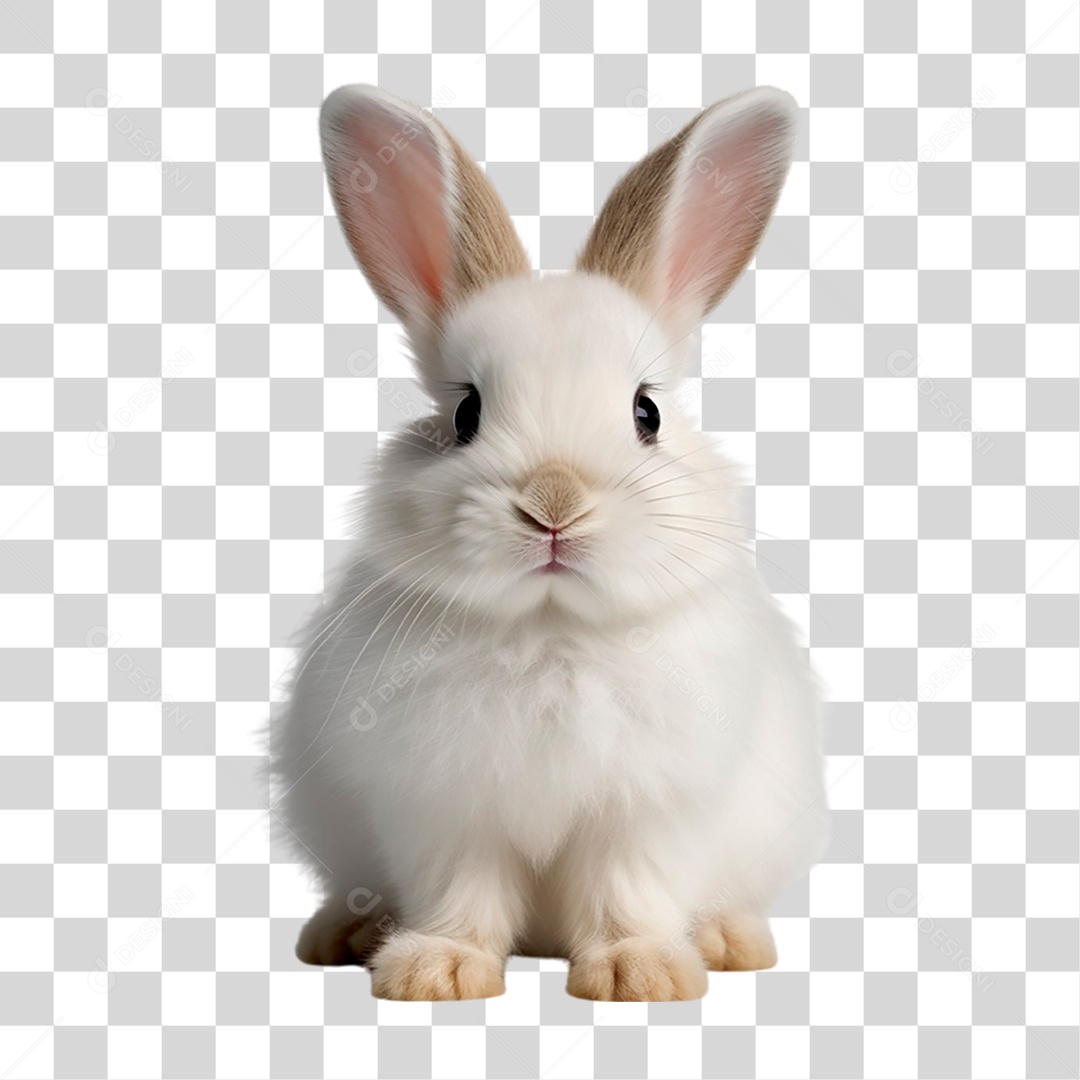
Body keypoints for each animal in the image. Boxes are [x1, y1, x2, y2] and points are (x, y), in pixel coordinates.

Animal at [270, 83, 829, 1002]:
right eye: (465, 413)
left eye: (647, 412)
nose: (554, 503)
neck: (551, 626)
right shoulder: (446, 809)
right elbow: (463, 889)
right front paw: (438, 971)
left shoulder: (648, 810)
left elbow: (629, 887)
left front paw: (641, 973)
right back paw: (343, 932)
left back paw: (729, 941)